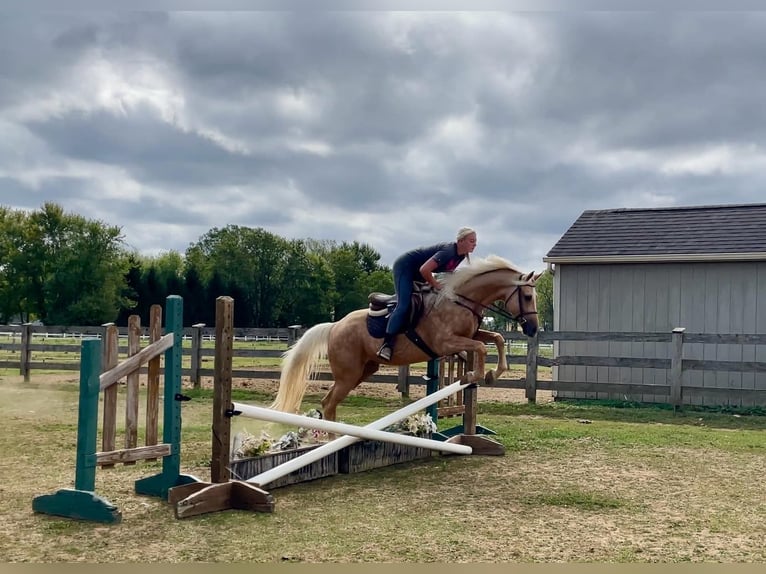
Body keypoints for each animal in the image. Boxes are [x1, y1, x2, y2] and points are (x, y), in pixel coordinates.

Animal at [272, 256, 544, 424]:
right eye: (527, 297)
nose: (533, 329)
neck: (461, 299)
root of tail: (334, 326)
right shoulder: (446, 342)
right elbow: (480, 348)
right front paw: (474, 375)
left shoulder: (469, 335)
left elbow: (496, 339)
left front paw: (492, 373)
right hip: (348, 375)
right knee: (328, 403)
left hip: (363, 371)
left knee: (329, 401)